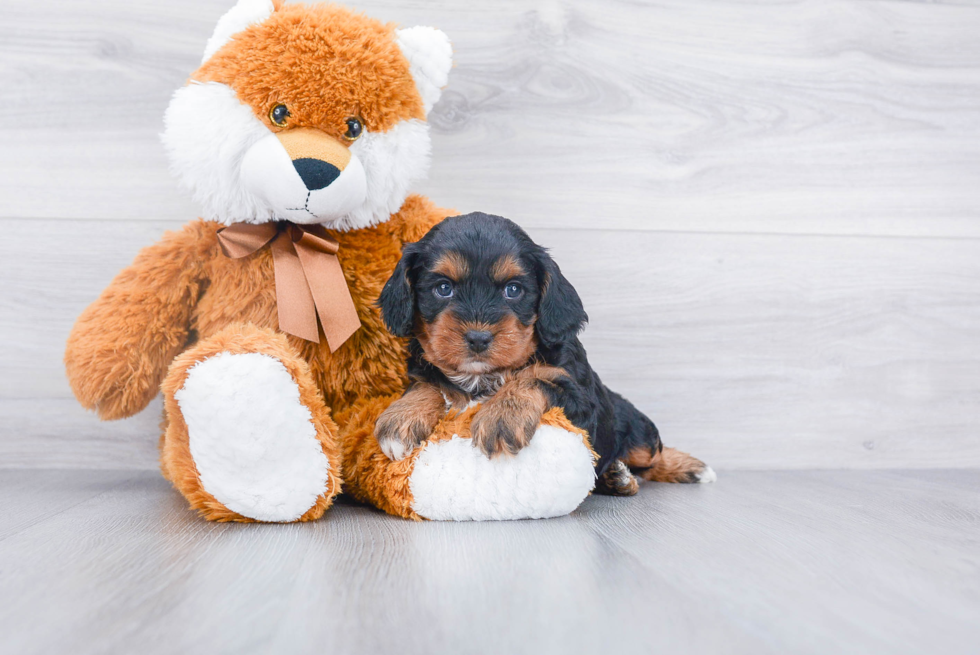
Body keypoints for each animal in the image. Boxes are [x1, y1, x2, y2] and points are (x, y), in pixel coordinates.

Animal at [376, 213, 712, 494]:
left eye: (513, 290)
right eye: (443, 288)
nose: (478, 338)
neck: (484, 377)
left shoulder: (581, 402)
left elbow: (535, 378)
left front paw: (502, 415)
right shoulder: (425, 369)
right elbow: (427, 384)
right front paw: (401, 417)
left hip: (634, 429)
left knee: (652, 455)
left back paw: (685, 469)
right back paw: (617, 477)